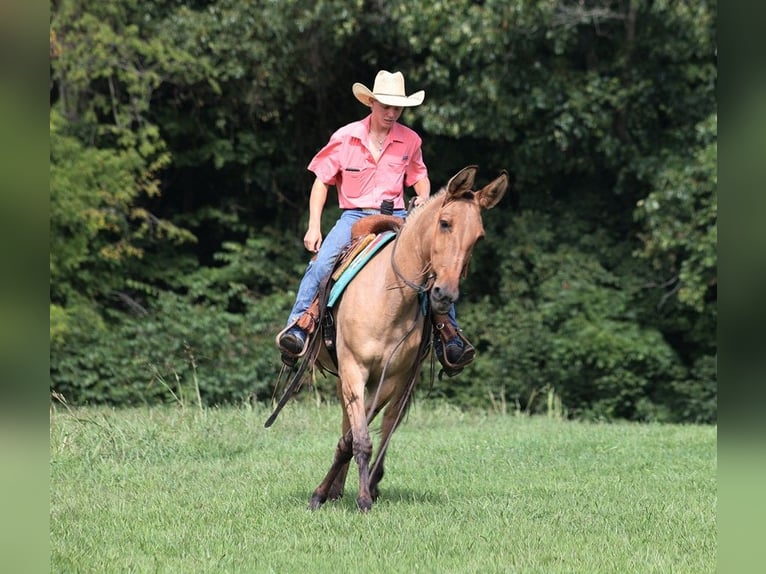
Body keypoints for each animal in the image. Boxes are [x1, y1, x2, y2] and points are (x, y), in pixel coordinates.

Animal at [272, 165, 508, 512]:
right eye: (445, 223)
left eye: (479, 236)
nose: (444, 295)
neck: (388, 297)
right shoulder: (354, 368)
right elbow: (357, 437)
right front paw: (337, 496)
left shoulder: (392, 378)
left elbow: (360, 436)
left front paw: (357, 492)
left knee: (386, 424)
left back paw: (362, 482)